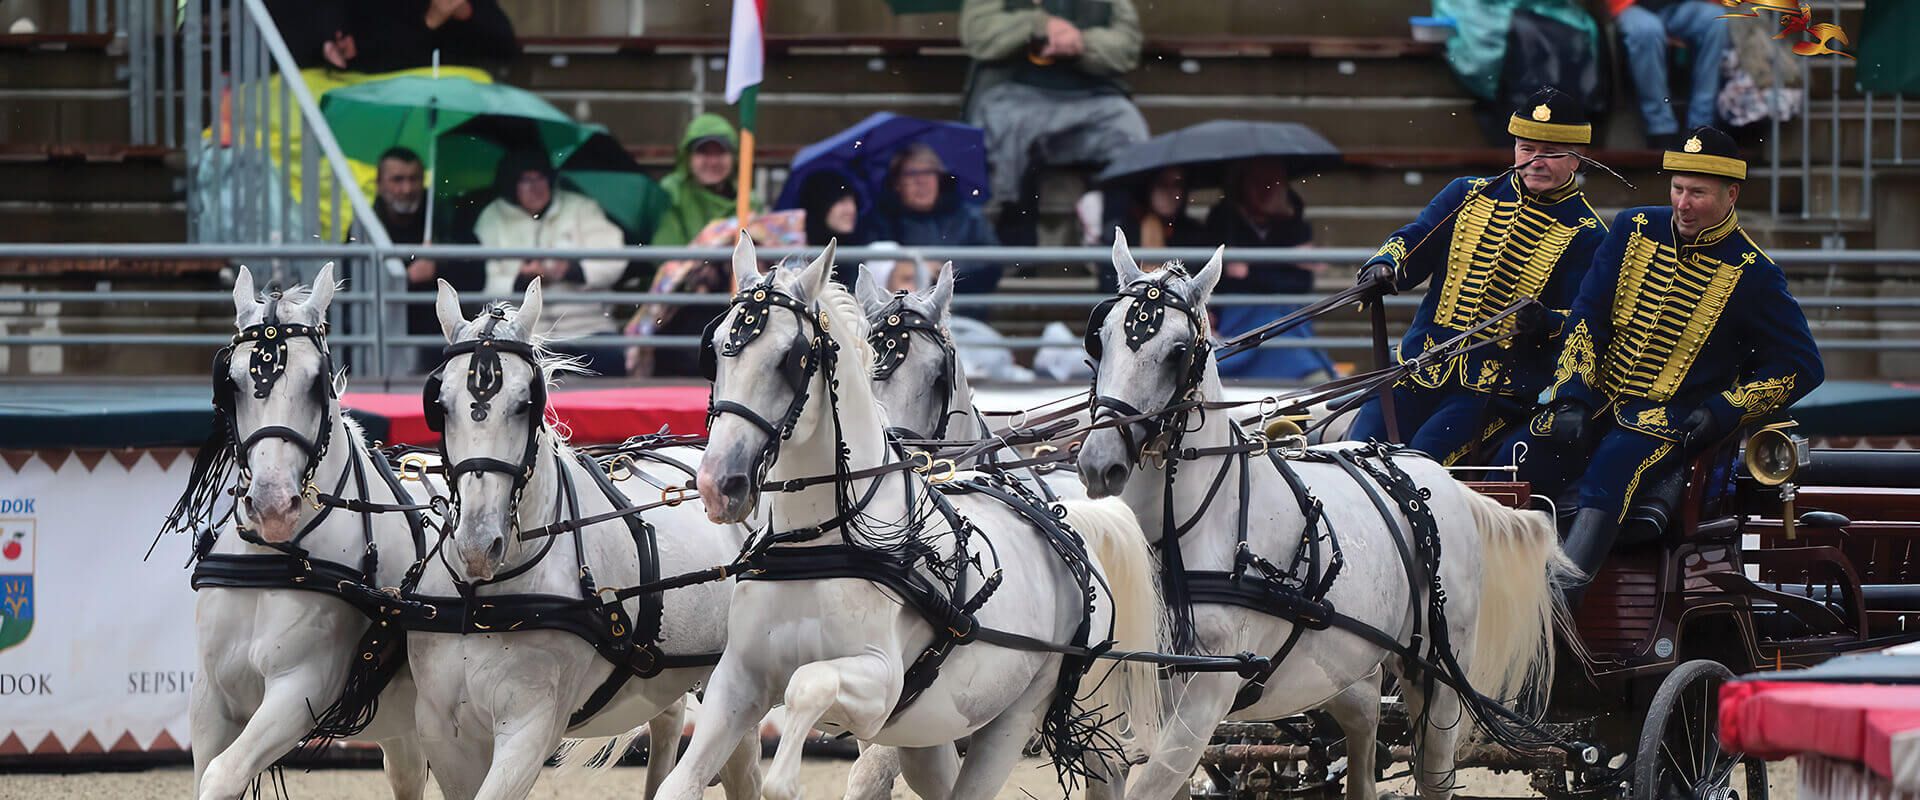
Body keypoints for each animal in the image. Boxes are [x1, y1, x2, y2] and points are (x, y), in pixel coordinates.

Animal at [186, 268, 428, 798]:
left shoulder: (303, 687)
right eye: (232, 382)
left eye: (318, 382)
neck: (272, 560)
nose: (273, 506)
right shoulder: (211, 695)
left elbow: (223, 774)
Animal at [412, 278, 764, 794]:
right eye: (439, 405)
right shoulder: (443, 732)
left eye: (525, 403)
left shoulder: (530, 726)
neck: (485, 600)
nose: (478, 545)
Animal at [660, 236, 1159, 798]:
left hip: (1016, 716)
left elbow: (807, 685)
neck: (820, 541)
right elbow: (679, 784)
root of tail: (1070, 524)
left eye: (792, 357)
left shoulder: (879, 687)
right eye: (716, 348)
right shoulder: (737, 682)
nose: (719, 483)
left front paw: (784, 778)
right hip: (929, 730)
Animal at [1082, 235, 1574, 798]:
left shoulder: (1208, 691)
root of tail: (1442, 478)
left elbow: (1153, 781)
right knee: (1363, 740)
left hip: (1437, 678)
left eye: (1178, 351)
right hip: (1344, 668)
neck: (1190, 529)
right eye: (1100, 339)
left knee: (1433, 772)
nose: (1098, 463)